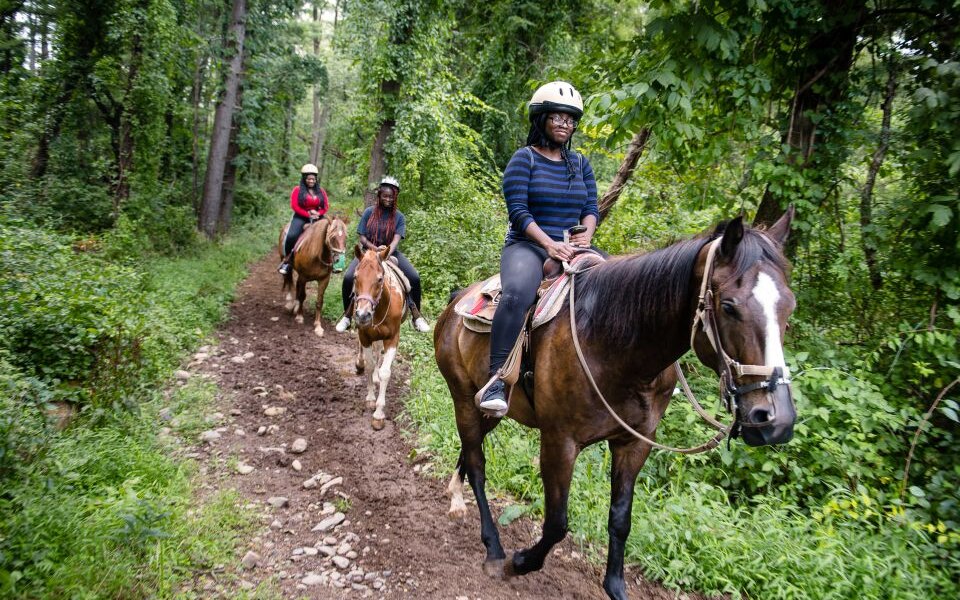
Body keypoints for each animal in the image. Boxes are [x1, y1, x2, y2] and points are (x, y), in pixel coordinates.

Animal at [434, 209, 796, 596]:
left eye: (790, 307)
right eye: (728, 306)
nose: (776, 420)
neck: (614, 341)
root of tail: (456, 301)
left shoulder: (635, 443)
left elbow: (621, 518)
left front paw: (615, 585)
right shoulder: (559, 442)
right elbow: (557, 522)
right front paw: (520, 562)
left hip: (490, 409)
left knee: (471, 449)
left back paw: (456, 496)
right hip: (463, 398)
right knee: (478, 464)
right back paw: (494, 548)